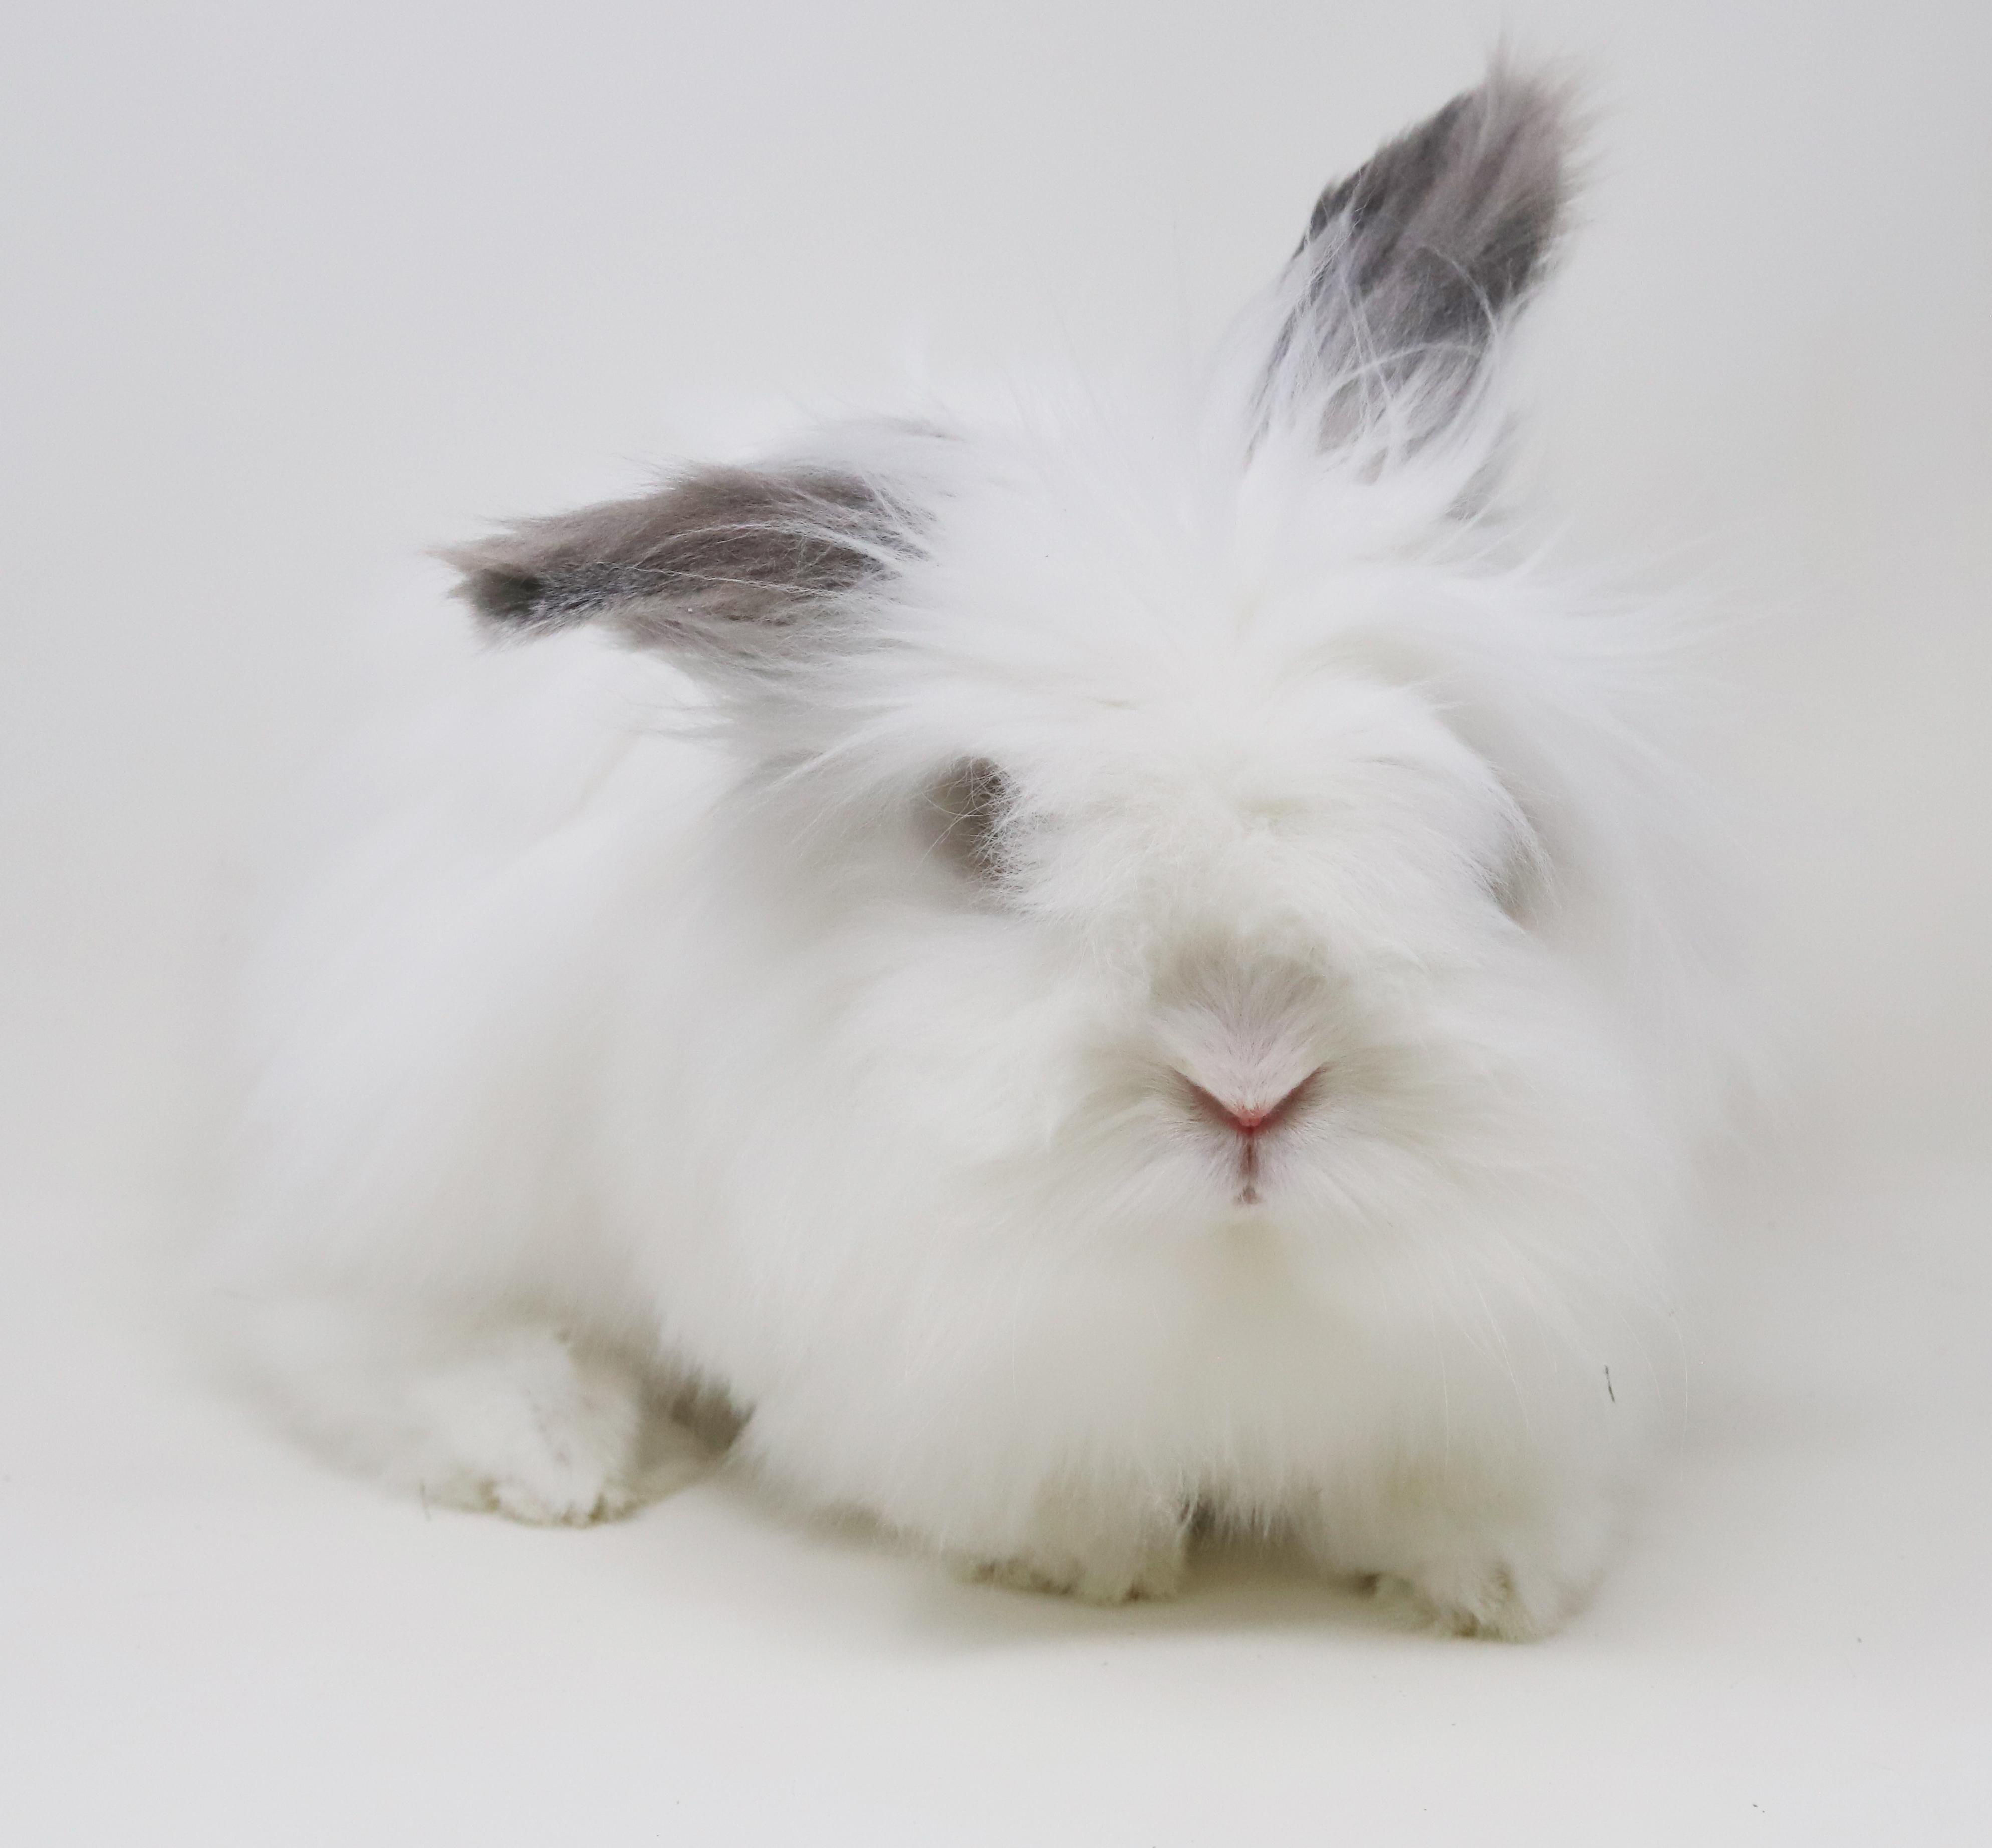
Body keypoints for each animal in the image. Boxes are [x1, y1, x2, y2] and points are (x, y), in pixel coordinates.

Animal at [214, 63, 1741, 1640]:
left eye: (1480, 823)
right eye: (979, 817)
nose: (1252, 1087)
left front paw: (1494, 1576)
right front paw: (1089, 1555)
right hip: (420, 1139)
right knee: (335, 1320)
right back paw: (552, 1449)